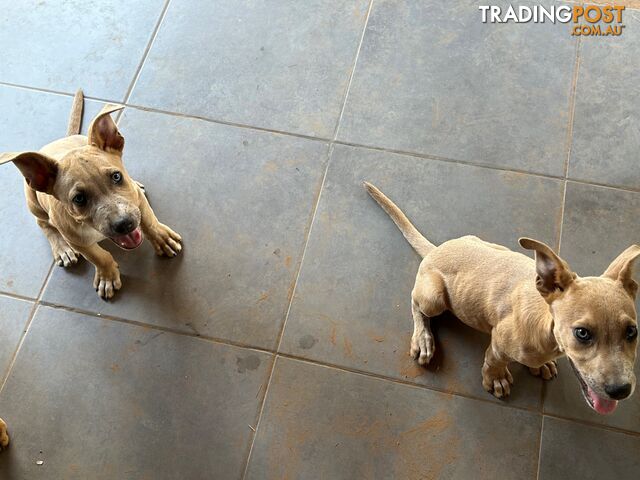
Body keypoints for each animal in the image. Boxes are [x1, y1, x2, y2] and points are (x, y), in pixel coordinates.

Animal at [0, 90, 182, 298]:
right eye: (79, 199)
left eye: (117, 176)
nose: (124, 224)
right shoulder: (75, 239)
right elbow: (98, 256)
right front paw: (107, 276)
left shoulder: (137, 203)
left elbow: (149, 221)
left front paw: (162, 238)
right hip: (33, 201)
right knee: (43, 223)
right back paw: (62, 249)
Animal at [368, 182, 636, 414]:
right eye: (582, 333)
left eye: (632, 332)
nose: (621, 390)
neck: (545, 327)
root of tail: (436, 249)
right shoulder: (498, 340)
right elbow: (493, 360)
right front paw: (496, 379)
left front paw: (539, 366)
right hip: (433, 298)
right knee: (416, 304)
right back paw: (423, 339)